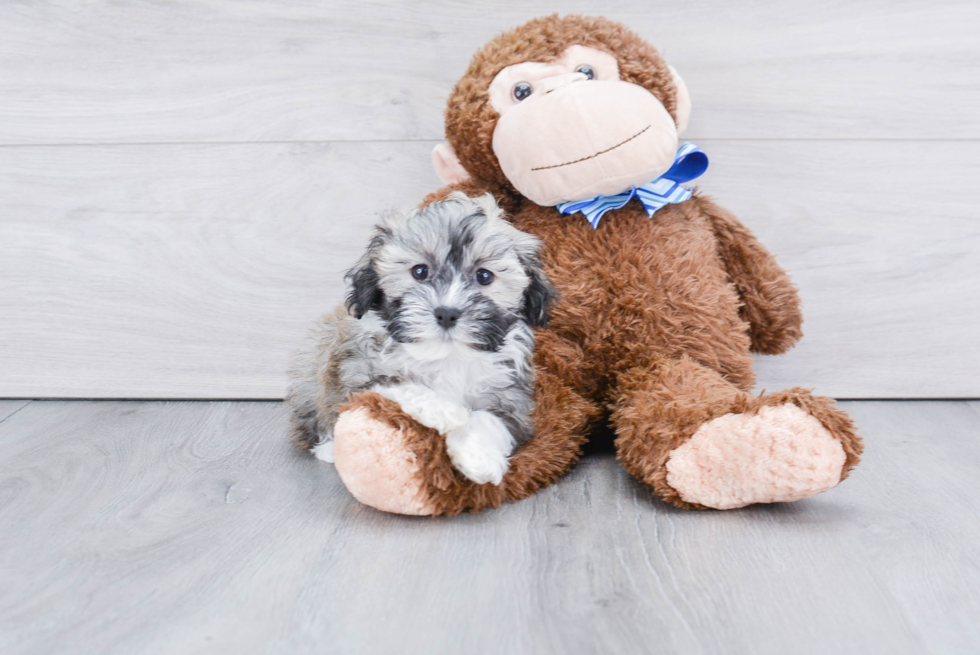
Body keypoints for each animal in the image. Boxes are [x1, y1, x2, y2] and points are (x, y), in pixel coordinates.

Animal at [288, 192, 556, 484]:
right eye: (420, 272)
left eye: (484, 276)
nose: (447, 313)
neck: (446, 354)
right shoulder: (359, 377)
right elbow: (401, 385)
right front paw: (447, 412)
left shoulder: (510, 398)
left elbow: (491, 420)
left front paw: (479, 457)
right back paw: (329, 447)